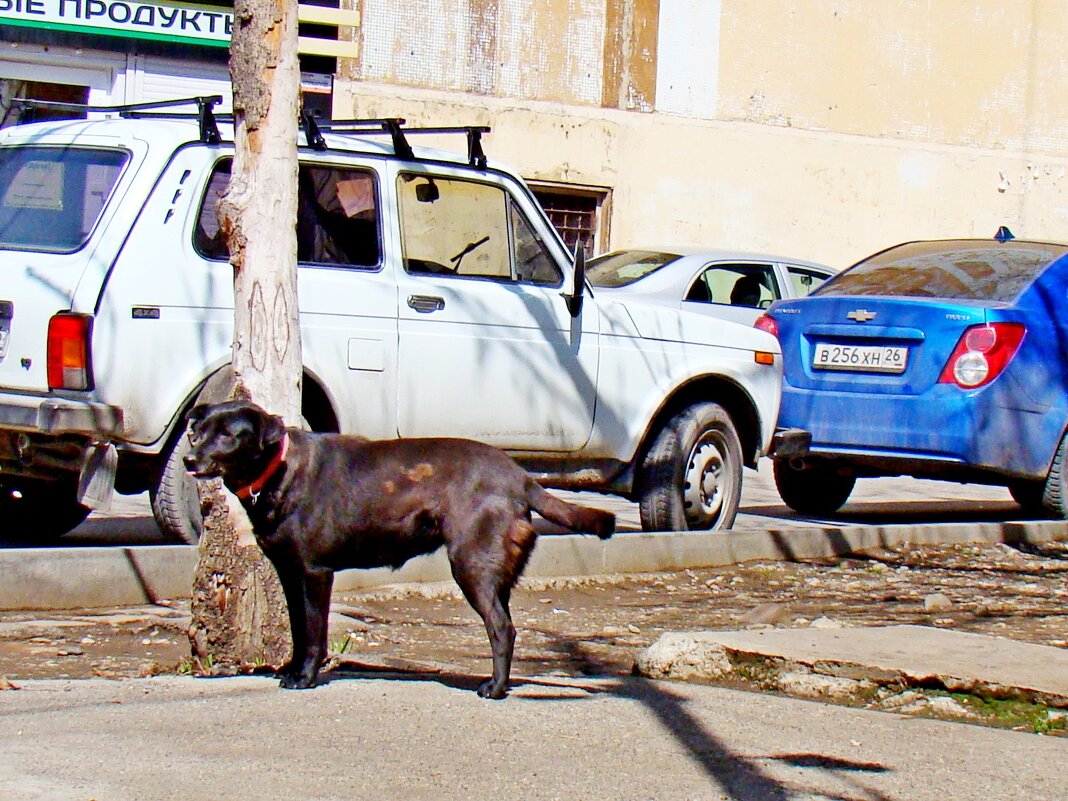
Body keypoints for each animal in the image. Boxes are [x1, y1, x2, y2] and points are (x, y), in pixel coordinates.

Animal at [185, 399, 619, 696]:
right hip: (497, 573)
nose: (188, 459)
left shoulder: (314, 573)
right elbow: (297, 629)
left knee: (502, 629)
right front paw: (290, 668)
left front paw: (305, 677)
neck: (279, 469)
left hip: (471, 566)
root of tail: (521, 477)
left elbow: (314, 631)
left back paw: (494, 689)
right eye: (197, 431)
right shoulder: (290, 572)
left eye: (226, 435)